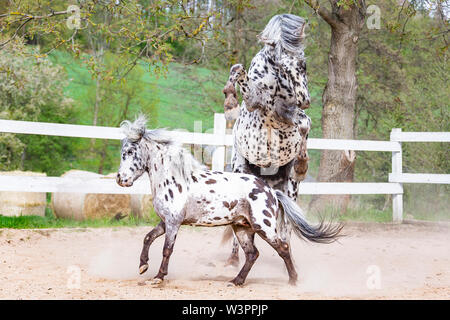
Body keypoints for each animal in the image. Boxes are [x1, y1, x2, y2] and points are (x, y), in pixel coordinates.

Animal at [116, 116, 342, 286]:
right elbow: (148, 237)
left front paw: (158, 277)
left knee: (283, 248)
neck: (174, 178)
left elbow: (167, 249)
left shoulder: (173, 222)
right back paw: (236, 281)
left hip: (264, 226)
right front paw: (143, 266)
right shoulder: (166, 222)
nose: (120, 179)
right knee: (252, 254)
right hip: (242, 228)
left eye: (130, 152)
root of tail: (270, 191)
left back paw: (293, 280)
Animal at [222, 13, 312, 266]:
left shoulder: (289, 115)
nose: (305, 100)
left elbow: (304, 124)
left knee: (285, 225)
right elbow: (238, 71)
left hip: (289, 190)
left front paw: (301, 164)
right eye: (283, 67)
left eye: (303, 64)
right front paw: (230, 100)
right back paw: (233, 258)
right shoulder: (257, 106)